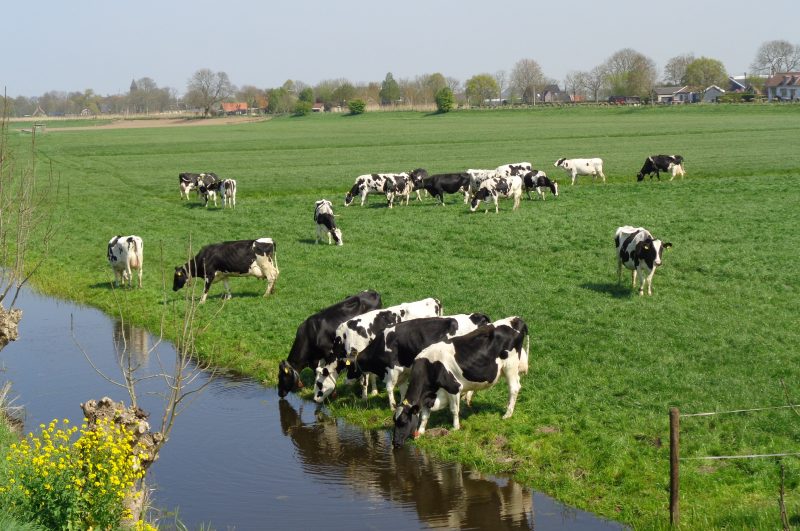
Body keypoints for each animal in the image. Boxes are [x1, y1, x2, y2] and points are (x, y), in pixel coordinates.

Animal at [314, 300, 444, 404]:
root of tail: (434, 300)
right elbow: (371, 375)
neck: (345, 336)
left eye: (319, 384)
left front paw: (364, 398)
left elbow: (364, 381)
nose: (315, 400)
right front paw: (374, 391)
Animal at [316, 314, 490, 410]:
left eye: (319, 384)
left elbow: (389, 387)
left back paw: (466, 398)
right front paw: (401, 402)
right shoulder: (404, 371)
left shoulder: (393, 368)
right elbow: (402, 388)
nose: (315, 400)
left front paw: (392, 406)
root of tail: (475, 316)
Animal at [390, 318, 528, 446]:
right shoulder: (428, 396)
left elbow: (454, 410)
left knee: (514, 388)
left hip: (510, 366)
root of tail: (515, 319)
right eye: (394, 421)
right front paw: (421, 432)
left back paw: (507, 414)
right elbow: (424, 416)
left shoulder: (454, 388)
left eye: (403, 422)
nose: (395, 443)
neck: (430, 366)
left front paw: (455, 428)